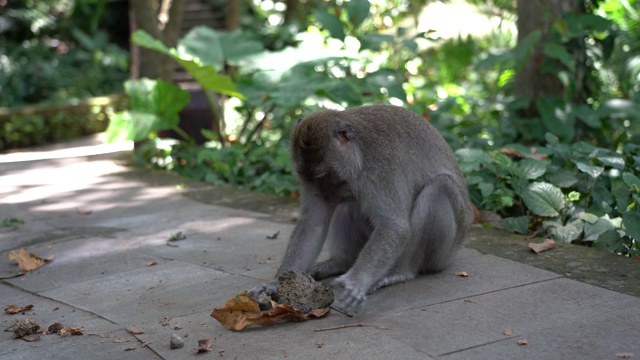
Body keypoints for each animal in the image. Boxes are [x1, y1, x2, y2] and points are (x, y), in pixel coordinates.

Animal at [248, 102, 472, 314]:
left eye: (326, 176)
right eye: (311, 180)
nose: (326, 196)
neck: (359, 156)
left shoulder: (380, 168)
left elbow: (394, 225)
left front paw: (356, 281)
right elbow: (314, 223)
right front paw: (274, 284)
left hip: (444, 253)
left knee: (440, 187)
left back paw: (399, 272)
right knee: (348, 206)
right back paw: (340, 262)